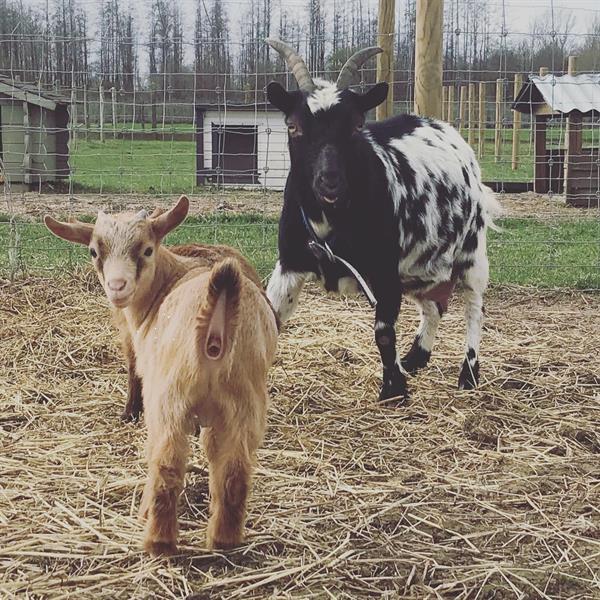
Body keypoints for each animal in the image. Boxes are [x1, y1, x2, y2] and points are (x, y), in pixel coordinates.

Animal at [44, 197, 278, 552]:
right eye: (94, 251)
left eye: (146, 249)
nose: (117, 287)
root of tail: (216, 325)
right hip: (245, 401)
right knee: (235, 468)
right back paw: (223, 540)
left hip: (170, 397)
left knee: (166, 461)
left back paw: (158, 540)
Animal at [264, 39, 500, 400]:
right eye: (293, 126)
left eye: (356, 125)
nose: (329, 181)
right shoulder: (289, 264)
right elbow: (269, 316)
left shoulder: (385, 271)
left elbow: (384, 331)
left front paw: (394, 389)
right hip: (419, 266)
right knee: (433, 306)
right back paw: (416, 356)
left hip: (472, 252)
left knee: (474, 306)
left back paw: (468, 373)